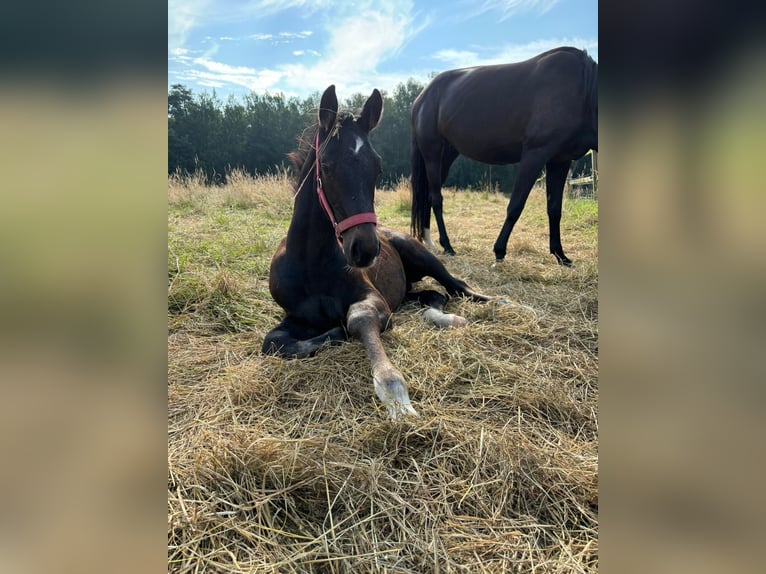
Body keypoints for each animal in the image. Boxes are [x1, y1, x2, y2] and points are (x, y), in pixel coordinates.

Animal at [262, 84, 492, 418]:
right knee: (433, 296)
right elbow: (274, 342)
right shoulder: (296, 315)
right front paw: (334, 333)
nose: (366, 249)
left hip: (421, 254)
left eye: (378, 167)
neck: (311, 262)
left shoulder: (372, 299)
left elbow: (359, 317)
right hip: (405, 291)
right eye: (326, 166)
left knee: (455, 286)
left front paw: (394, 394)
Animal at [414, 47, 600, 268]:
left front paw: (561, 255)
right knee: (436, 198)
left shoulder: (560, 161)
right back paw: (447, 246)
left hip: (447, 156)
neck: (583, 93)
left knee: (428, 195)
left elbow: (554, 209)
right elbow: (515, 206)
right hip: (432, 153)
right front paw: (499, 252)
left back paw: (429, 241)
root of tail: (422, 97)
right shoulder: (534, 154)